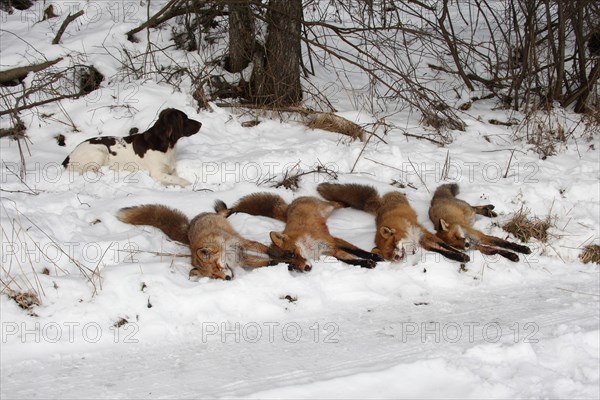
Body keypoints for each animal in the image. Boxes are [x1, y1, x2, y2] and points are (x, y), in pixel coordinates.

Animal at [63, 108, 200, 186]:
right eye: (185, 118)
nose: (200, 124)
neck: (166, 145)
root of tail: (68, 157)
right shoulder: (156, 173)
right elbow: (177, 179)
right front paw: (188, 184)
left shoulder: (171, 168)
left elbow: (175, 177)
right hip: (99, 150)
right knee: (89, 172)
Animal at [118, 202, 280, 280]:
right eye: (214, 276)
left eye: (218, 267)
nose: (228, 278)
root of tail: (189, 226)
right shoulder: (241, 257)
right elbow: (262, 262)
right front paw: (275, 262)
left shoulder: (239, 243)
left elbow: (260, 247)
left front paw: (274, 252)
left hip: (218, 219)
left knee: (220, 212)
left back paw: (227, 210)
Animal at [223, 192, 382, 270]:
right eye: (289, 264)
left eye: (291, 253)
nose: (305, 268)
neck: (310, 248)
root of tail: (289, 207)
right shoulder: (331, 251)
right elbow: (351, 260)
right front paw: (367, 264)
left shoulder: (332, 240)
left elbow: (358, 251)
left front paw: (375, 257)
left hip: (327, 207)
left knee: (335, 203)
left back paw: (345, 203)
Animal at [316, 183, 472, 264]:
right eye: (389, 255)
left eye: (393, 244)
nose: (397, 258)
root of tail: (380, 204)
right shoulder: (423, 242)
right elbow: (443, 252)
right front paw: (460, 257)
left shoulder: (422, 233)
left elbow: (446, 246)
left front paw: (462, 253)